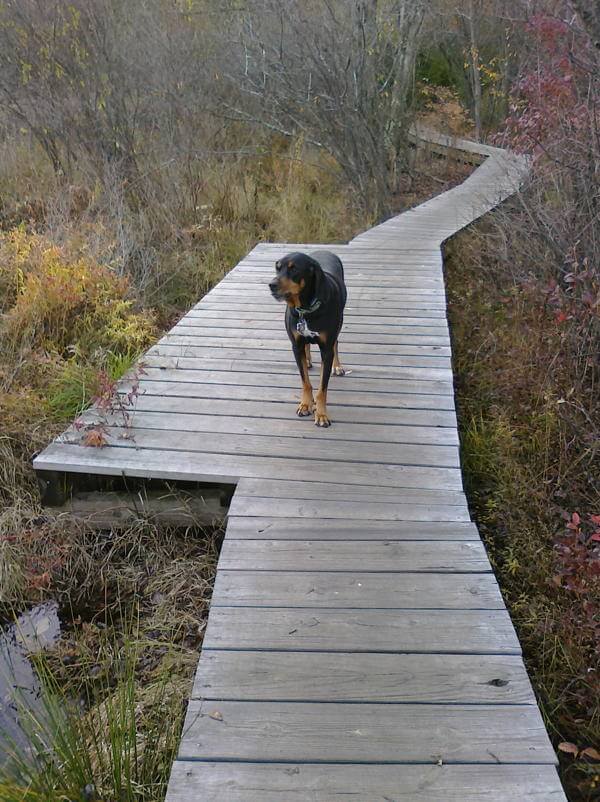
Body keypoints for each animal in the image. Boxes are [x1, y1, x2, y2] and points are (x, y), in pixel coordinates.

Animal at [268, 250, 346, 428]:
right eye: (277, 268)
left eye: (294, 269)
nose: (271, 285)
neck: (306, 309)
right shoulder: (296, 347)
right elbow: (305, 382)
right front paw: (305, 404)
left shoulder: (326, 350)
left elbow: (322, 389)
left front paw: (322, 415)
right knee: (307, 347)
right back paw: (309, 360)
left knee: (336, 343)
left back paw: (337, 366)